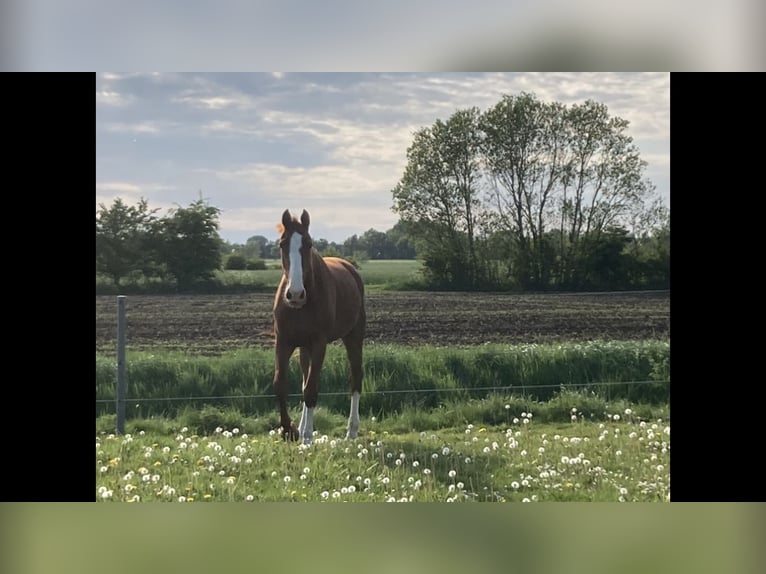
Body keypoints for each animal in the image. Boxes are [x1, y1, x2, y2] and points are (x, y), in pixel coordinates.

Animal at [272, 209, 368, 448]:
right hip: (303, 347)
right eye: (282, 244)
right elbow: (281, 385)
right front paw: (289, 430)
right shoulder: (284, 342)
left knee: (355, 377)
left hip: (353, 337)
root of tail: (350, 268)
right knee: (305, 380)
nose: (295, 294)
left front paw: (306, 437)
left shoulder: (318, 344)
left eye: (309, 244)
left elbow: (311, 390)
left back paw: (351, 431)